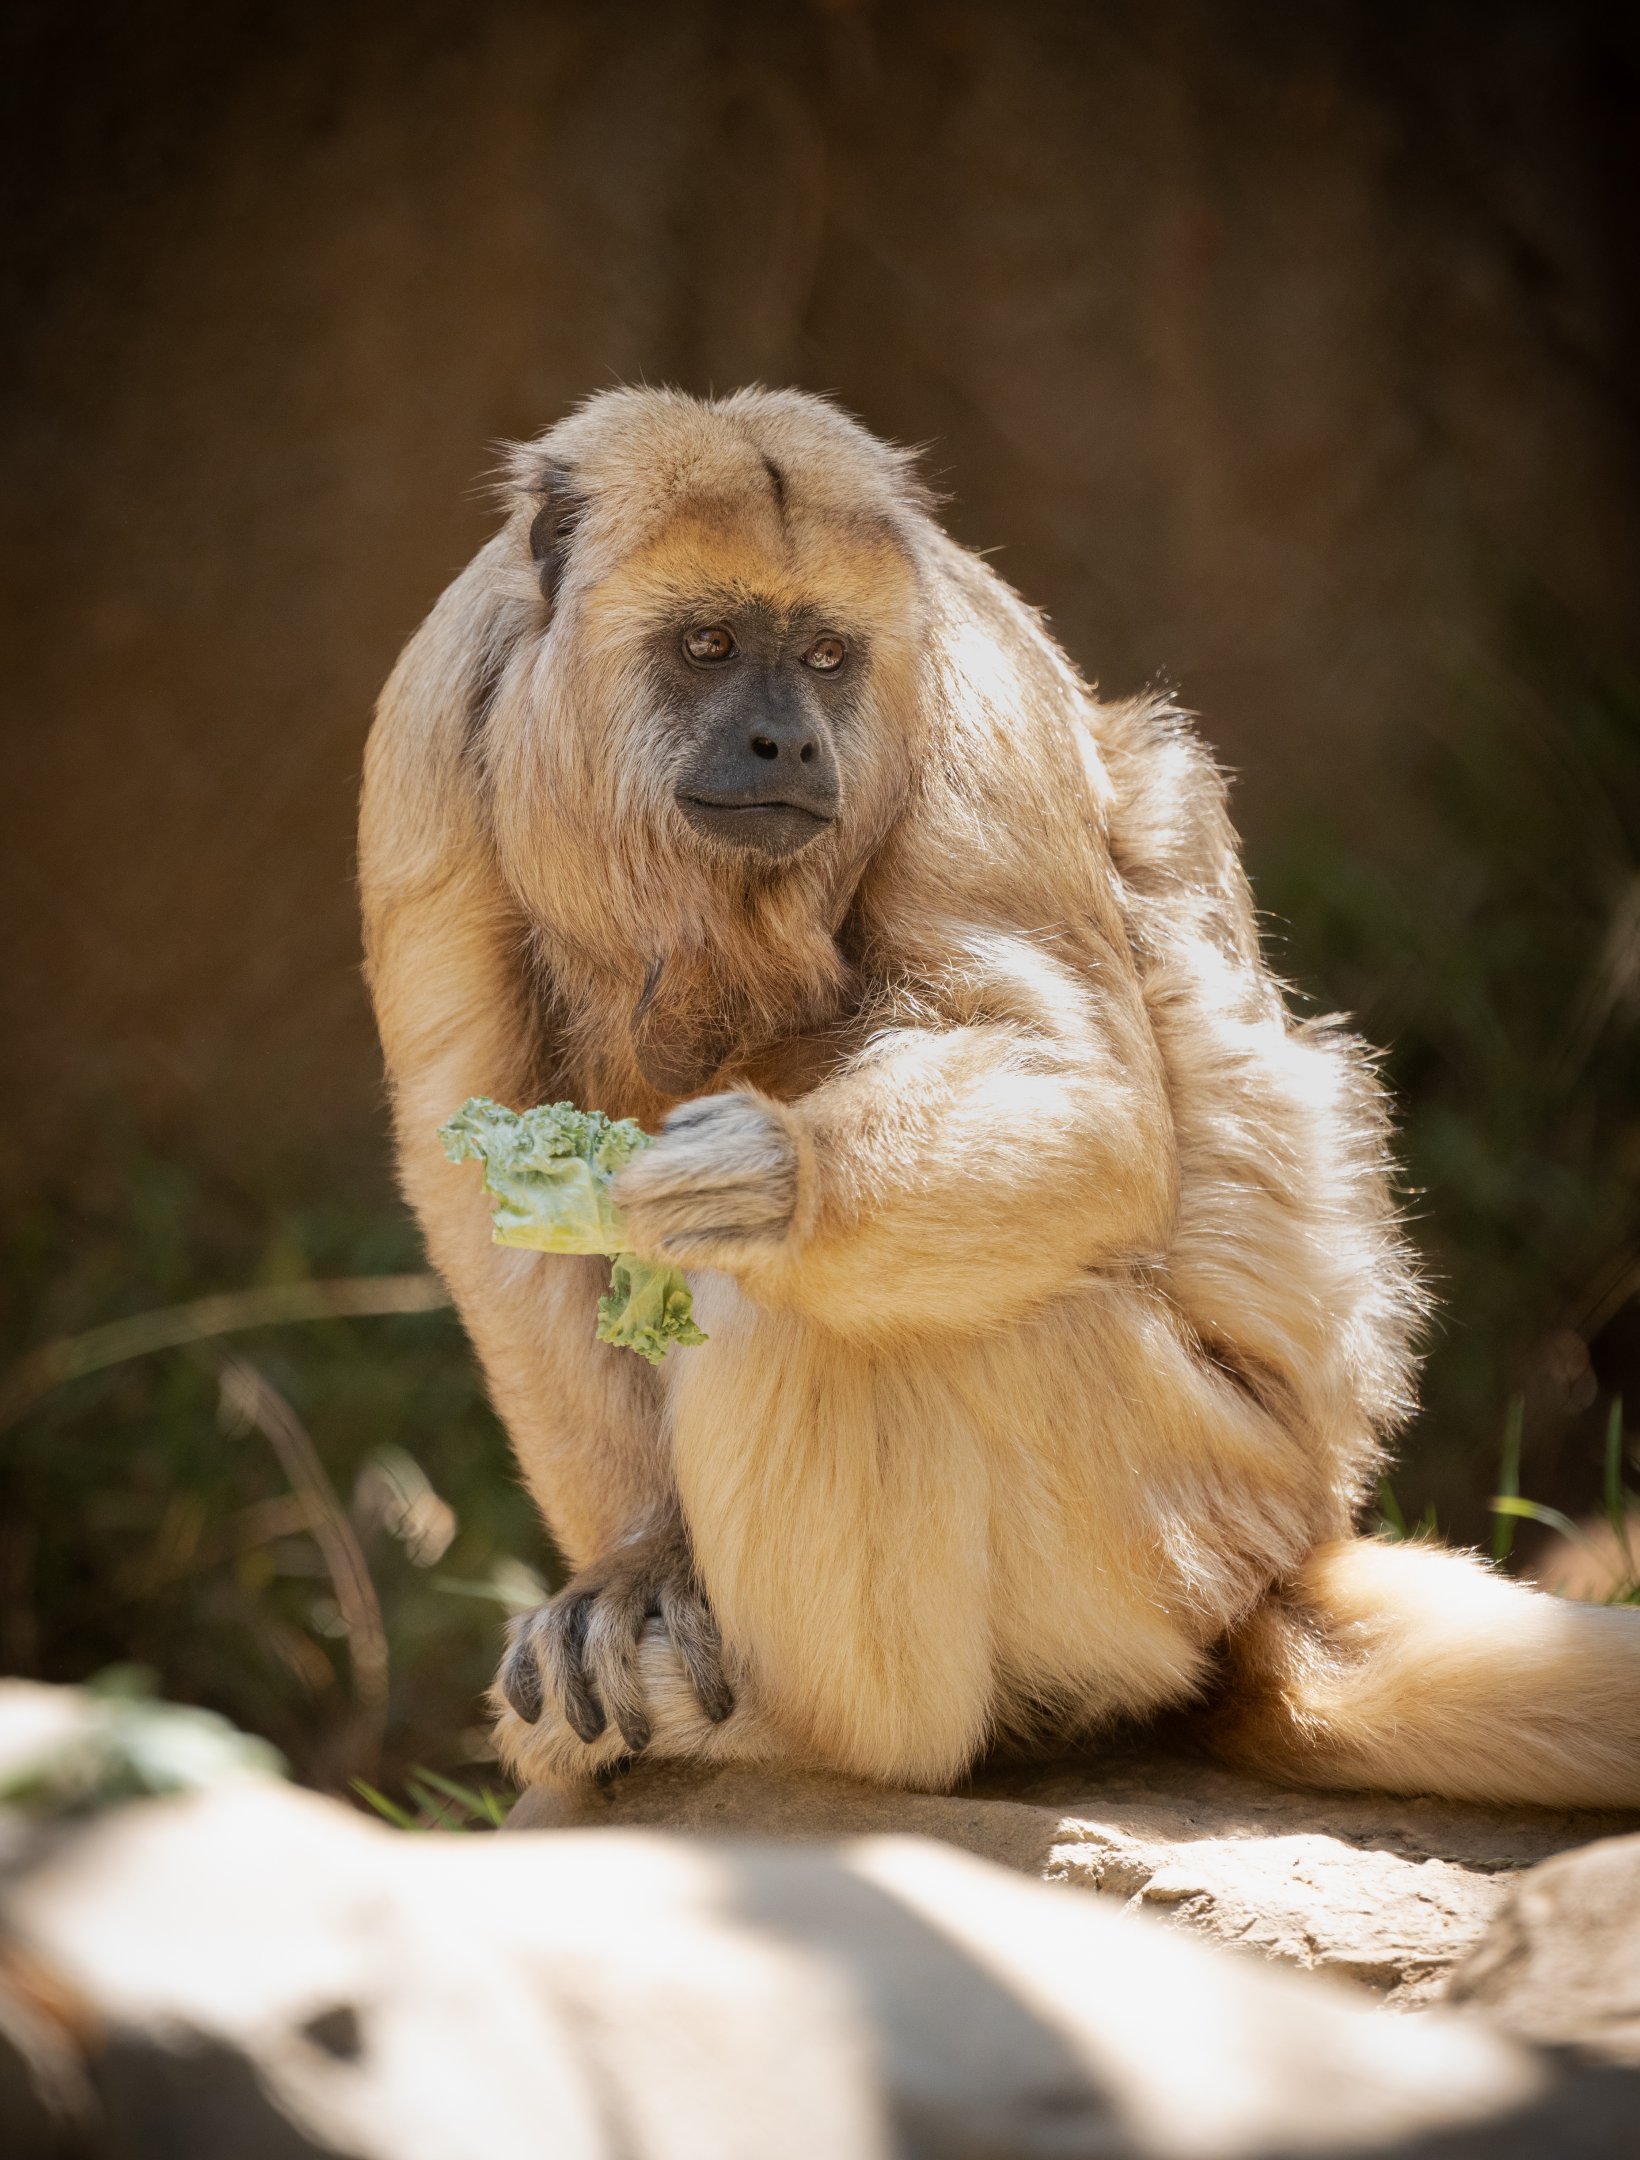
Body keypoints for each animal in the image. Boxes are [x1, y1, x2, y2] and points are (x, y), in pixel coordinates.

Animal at [358, 386, 1640, 1811]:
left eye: (825, 657)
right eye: (707, 642)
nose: (785, 738)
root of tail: (1279, 1557)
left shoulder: (972, 684)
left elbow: (1085, 1104)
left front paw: (771, 1175)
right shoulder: (425, 723)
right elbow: (466, 1169)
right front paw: (636, 1565)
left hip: (1175, 1519)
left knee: (811, 1311)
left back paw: (819, 1729)